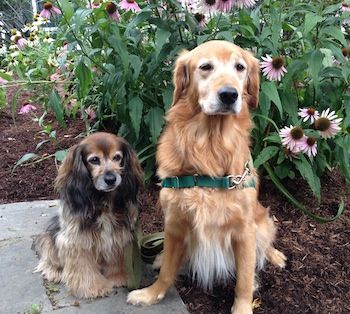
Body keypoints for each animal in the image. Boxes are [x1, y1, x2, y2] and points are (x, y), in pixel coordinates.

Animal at [36, 132, 144, 300]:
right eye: (94, 160)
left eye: (117, 157)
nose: (111, 179)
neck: (102, 201)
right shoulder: (77, 239)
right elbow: (83, 266)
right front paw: (93, 287)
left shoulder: (120, 234)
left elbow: (116, 257)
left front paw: (119, 277)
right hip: (51, 236)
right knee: (48, 254)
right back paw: (54, 271)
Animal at [127, 40, 286, 312]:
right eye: (205, 67)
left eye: (240, 67)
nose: (229, 94)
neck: (210, 148)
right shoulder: (174, 225)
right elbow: (167, 270)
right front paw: (151, 293)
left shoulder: (244, 230)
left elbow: (244, 279)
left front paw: (242, 307)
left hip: (262, 220)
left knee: (264, 243)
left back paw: (275, 255)